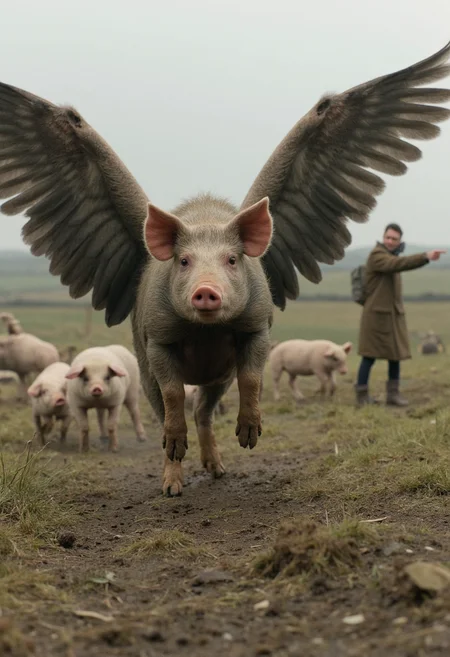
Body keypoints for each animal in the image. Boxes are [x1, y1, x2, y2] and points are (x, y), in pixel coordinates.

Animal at [0, 44, 448, 495]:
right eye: (183, 261)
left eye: (232, 260)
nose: (206, 289)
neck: (205, 331)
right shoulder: (157, 339)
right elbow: (172, 394)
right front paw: (175, 474)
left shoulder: (256, 327)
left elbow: (251, 379)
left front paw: (249, 438)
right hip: (139, 369)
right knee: (170, 411)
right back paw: (173, 483)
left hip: (218, 375)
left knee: (204, 410)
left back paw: (218, 469)